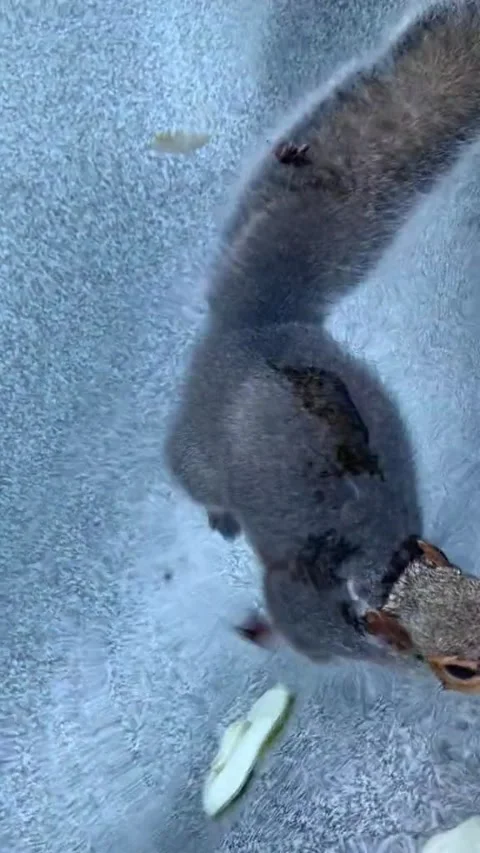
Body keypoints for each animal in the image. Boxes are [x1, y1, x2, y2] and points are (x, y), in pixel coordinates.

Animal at [165, 1, 480, 694]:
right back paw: (219, 515)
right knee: (189, 476)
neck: (389, 577)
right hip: (198, 449)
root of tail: (260, 322)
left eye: (479, 585)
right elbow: (300, 634)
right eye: (461, 667)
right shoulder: (307, 610)